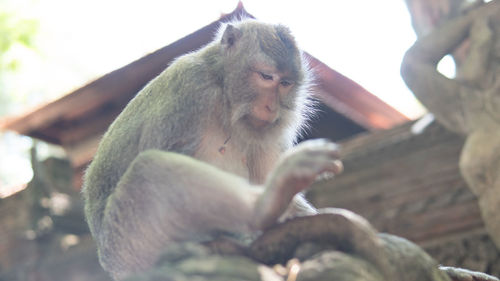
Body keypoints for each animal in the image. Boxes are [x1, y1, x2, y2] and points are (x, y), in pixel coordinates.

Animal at [83, 18, 344, 278]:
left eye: (286, 84)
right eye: (267, 77)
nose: (271, 107)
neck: (224, 93)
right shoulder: (190, 89)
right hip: (129, 241)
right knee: (148, 169)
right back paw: (263, 207)